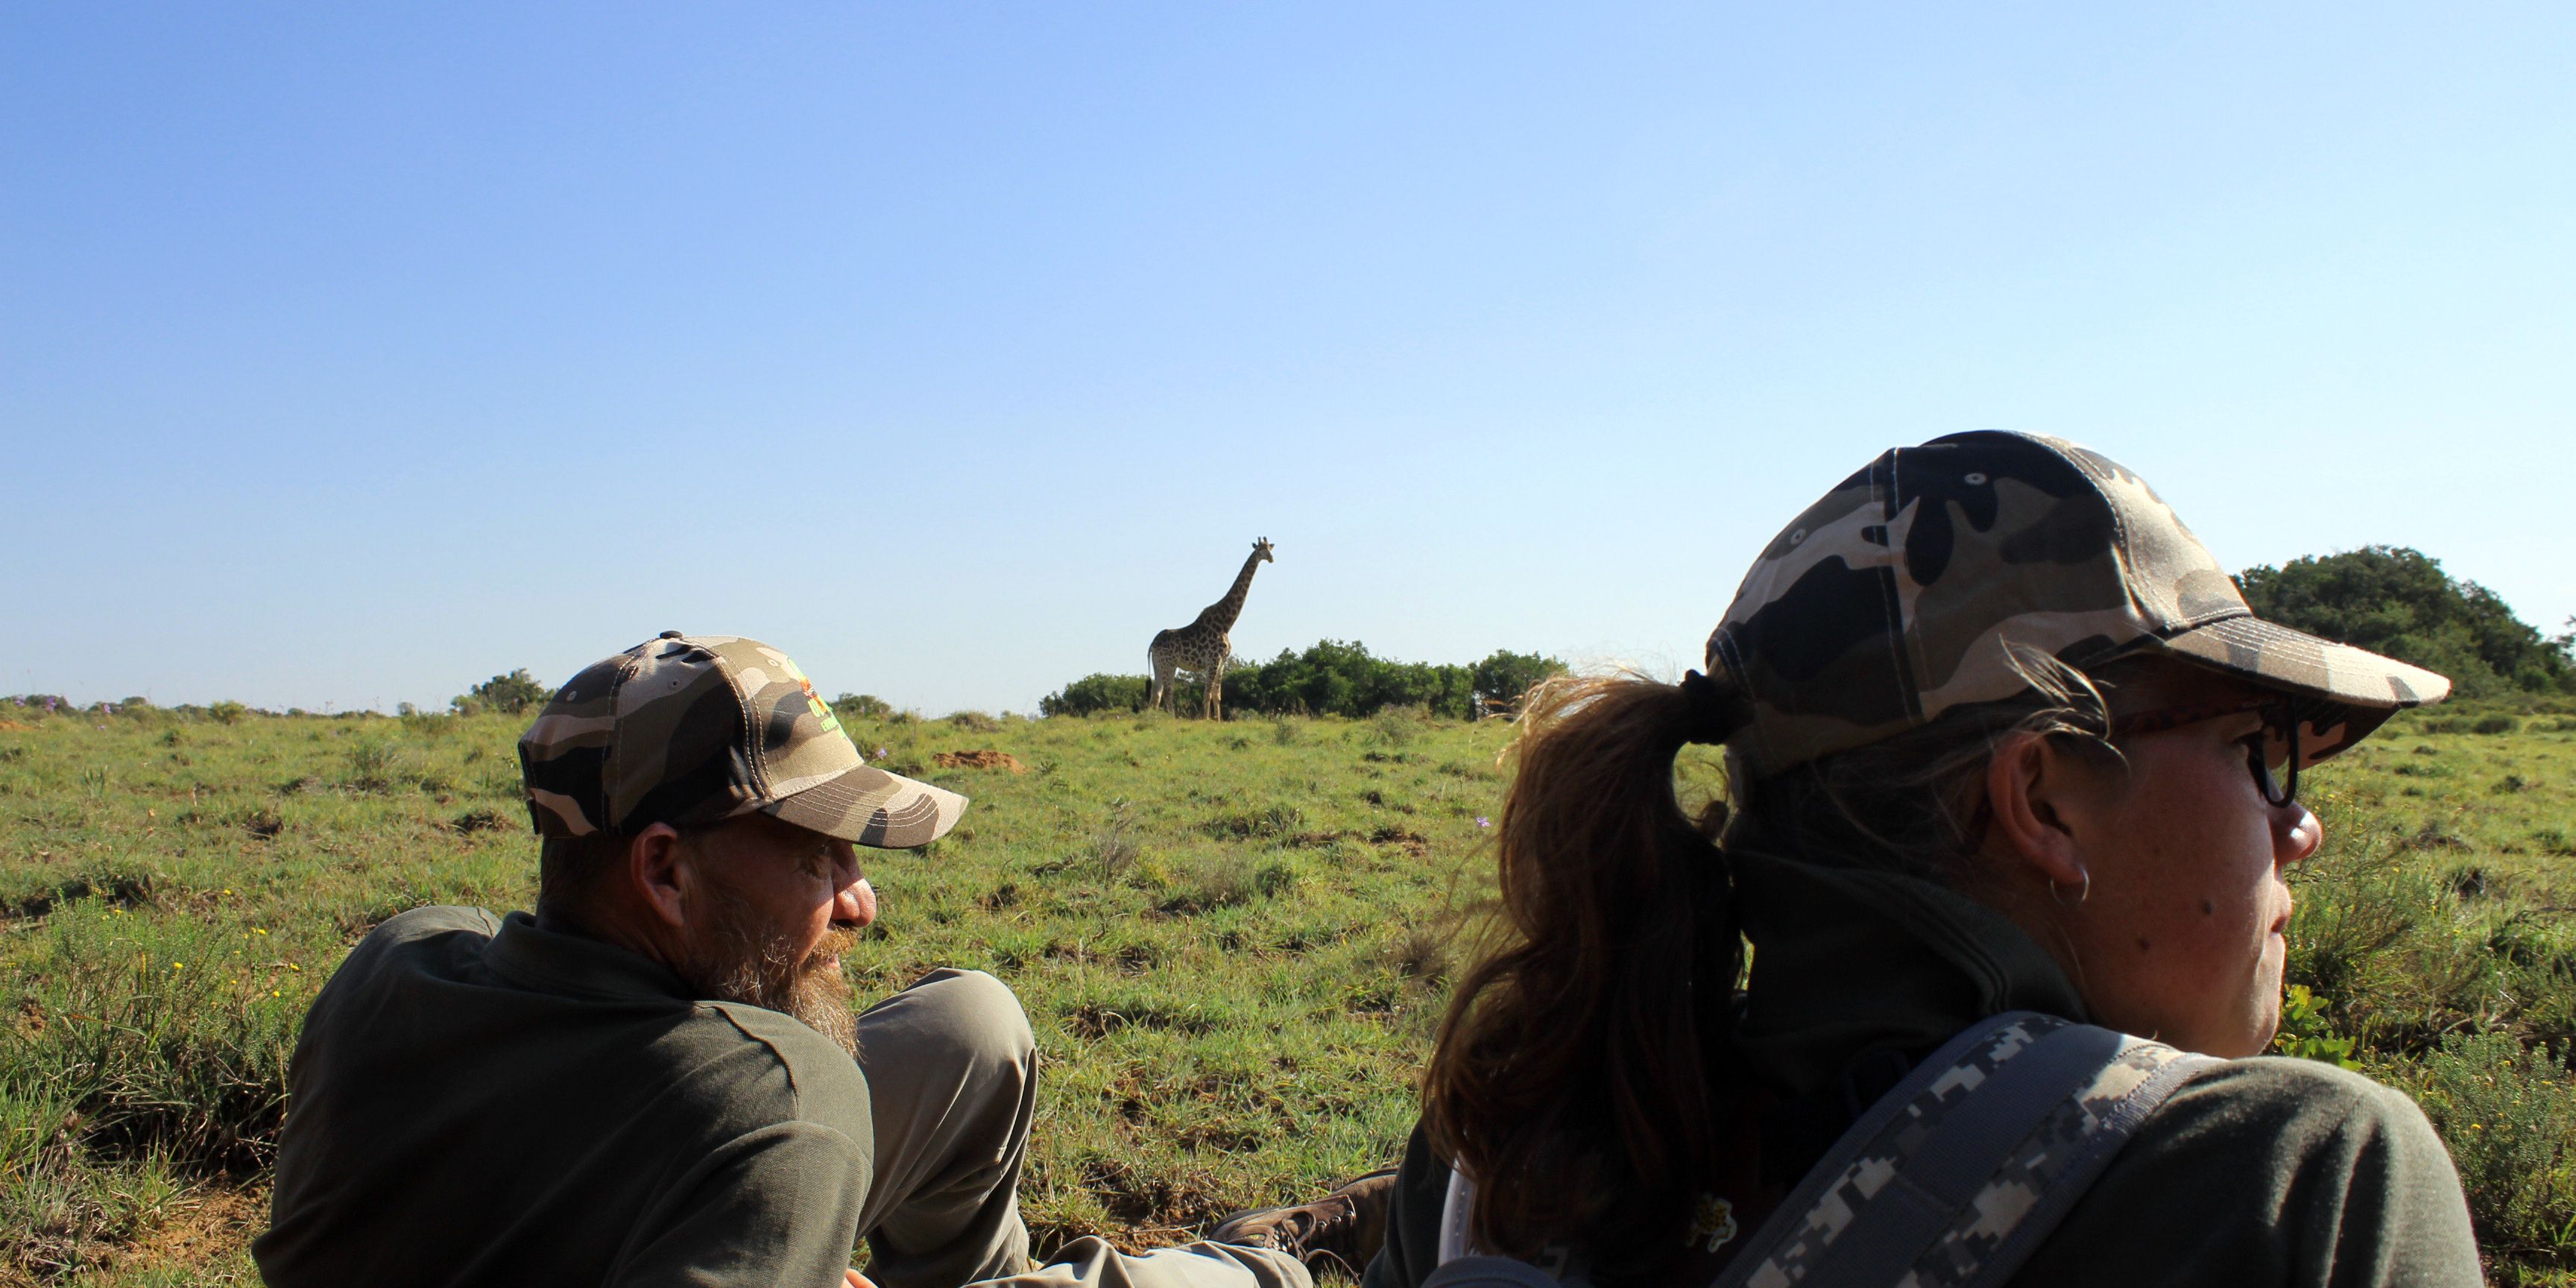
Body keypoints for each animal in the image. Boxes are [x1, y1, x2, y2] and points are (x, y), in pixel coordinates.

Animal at [1147, 538, 1274, 719]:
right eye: (1260, 550)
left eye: (1270, 548)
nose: (1271, 558)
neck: (1226, 624)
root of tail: (1152, 644)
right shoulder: (1214, 660)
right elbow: (1207, 693)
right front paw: (1205, 719)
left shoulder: (1222, 662)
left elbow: (1217, 695)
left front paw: (1218, 720)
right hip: (1169, 664)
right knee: (1168, 691)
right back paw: (1172, 719)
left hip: (1158, 664)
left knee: (1156, 692)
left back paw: (1155, 718)